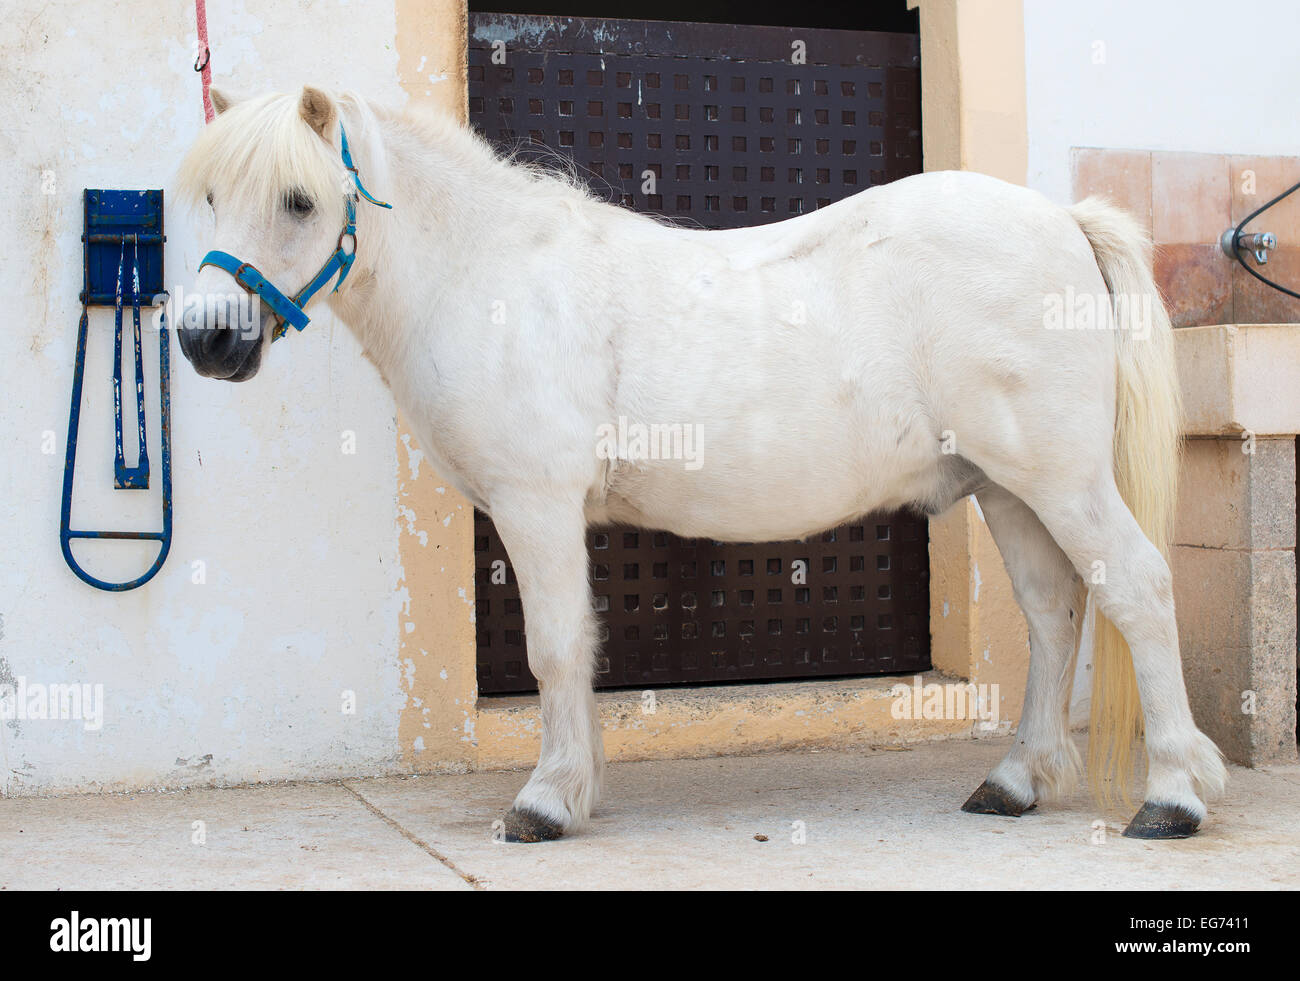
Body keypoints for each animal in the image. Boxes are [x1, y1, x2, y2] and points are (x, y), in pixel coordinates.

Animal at [178, 86, 1222, 841]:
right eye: (212, 198)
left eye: (301, 200)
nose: (205, 339)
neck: (492, 278)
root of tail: (1064, 221)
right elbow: (579, 647)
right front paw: (578, 787)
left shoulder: (535, 503)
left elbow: (554, 647)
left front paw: (545, 803)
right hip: (1008, 488)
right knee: (1055, 610)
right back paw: (1014, 782)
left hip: (1060, 479)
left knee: (1136, 587)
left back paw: (1170, 797)